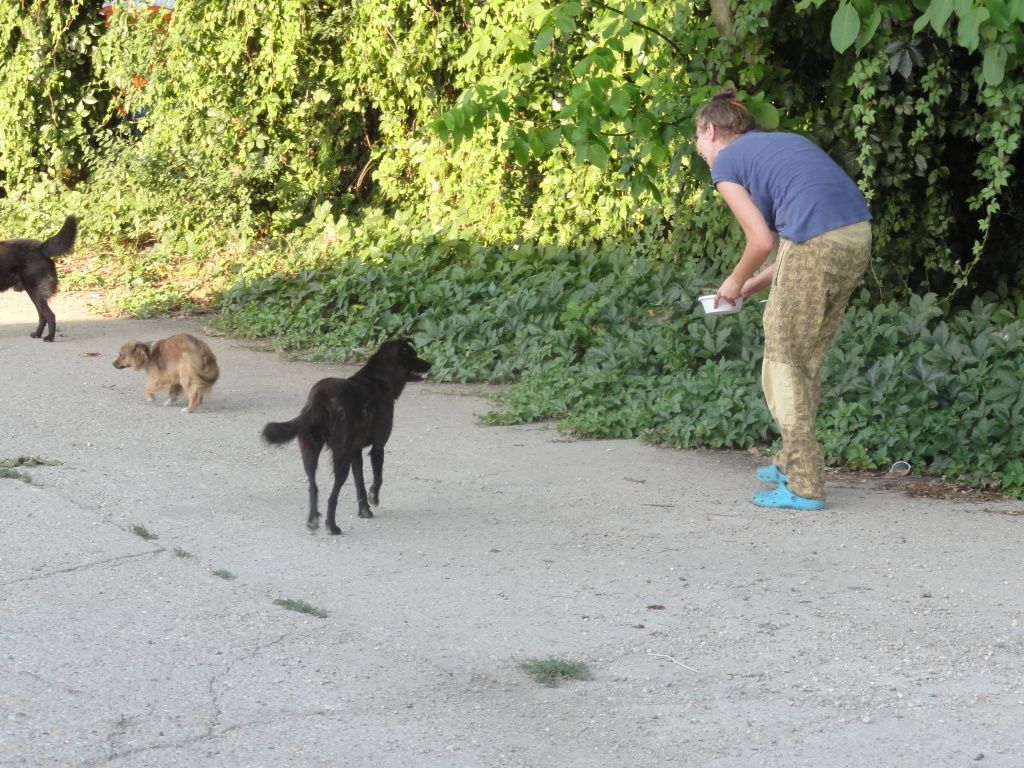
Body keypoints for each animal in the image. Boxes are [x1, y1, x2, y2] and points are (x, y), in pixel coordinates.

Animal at [262, 339, 430, 536]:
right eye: (414, 355)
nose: (430, 364)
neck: (380, 377)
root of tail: (320, 399)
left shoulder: (355, 453)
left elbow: (360, 485)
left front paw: (364, 510)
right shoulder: (378, 447)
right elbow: (377, 478)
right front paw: (374, 498)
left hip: (310, 452)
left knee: (313, 487)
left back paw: (312, 520)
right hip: (341, 458)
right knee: (332, 497)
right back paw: (332, 526)